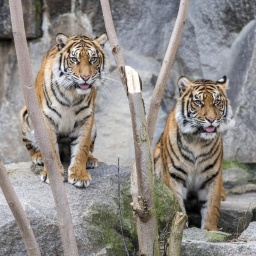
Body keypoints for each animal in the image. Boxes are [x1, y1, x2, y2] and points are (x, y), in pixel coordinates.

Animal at [19, 32, 108, 188]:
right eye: (74, 59)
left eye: (93, 59)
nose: (86, 77)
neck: (72, 94)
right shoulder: (47, 118)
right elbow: (51, 150)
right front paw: (52, 175)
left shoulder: (86, 118)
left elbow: (81, 149)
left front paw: (80, 175)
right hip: (25, 115)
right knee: (32, 148)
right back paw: (38, 157)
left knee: (88, 149)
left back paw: (91, 160)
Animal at [154, 75, 234, 230]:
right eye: (198, 102)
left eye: (216, 102)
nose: (211, 119)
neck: (197, 140)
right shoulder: (174, 175)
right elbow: (177, 204)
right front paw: (181, 227)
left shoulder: (212, 177)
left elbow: (212, 206)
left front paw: (209, 229)